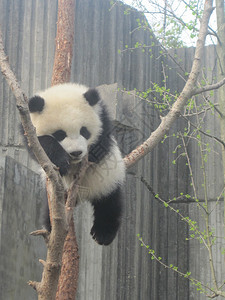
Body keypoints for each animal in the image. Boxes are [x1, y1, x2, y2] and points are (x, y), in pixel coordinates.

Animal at [27, 82, 125, 246]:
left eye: (84, 131)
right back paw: (51, 226)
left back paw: (102, 234)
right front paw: (61, 162)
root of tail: (83, 194)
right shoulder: (30, 130)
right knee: (51, 208)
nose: (76, 153)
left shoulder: (102, 116)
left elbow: (102, 142)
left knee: (109, 203)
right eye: (60, 134)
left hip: (108, 181)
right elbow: (39, 146)